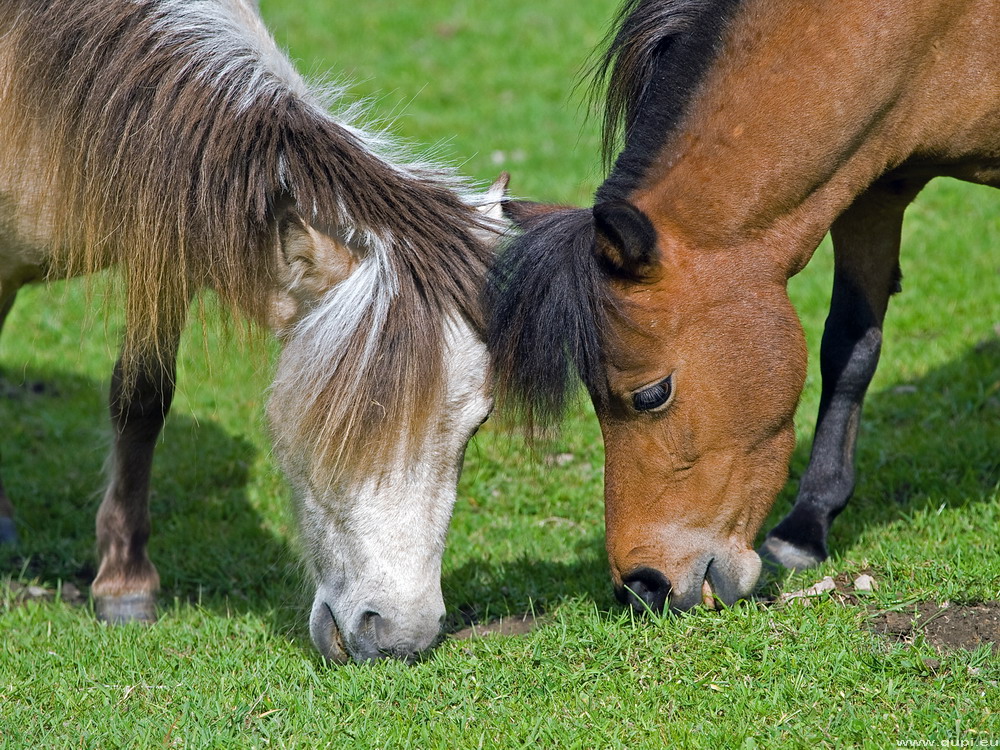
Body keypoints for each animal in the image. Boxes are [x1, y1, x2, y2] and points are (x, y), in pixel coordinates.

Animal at [490, 0, 1000, 612]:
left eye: (652, 394)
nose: (642, 588)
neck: (936, 29)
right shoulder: (873, 182)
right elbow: (850, 347)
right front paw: (807, 527)